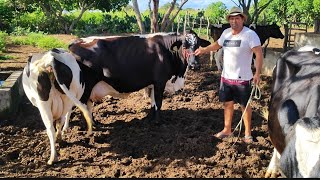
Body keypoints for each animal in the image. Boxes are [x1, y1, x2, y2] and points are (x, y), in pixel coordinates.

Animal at [69, 29, 211, 123]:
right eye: (185, 46)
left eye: (198, 45)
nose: (194, 65)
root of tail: (76, 42)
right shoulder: (160, 81)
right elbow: (158, 103)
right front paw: (158, 122)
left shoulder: (153, 84)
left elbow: (153, 103)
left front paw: (151, 118)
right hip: (86, 87)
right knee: (82, 105)